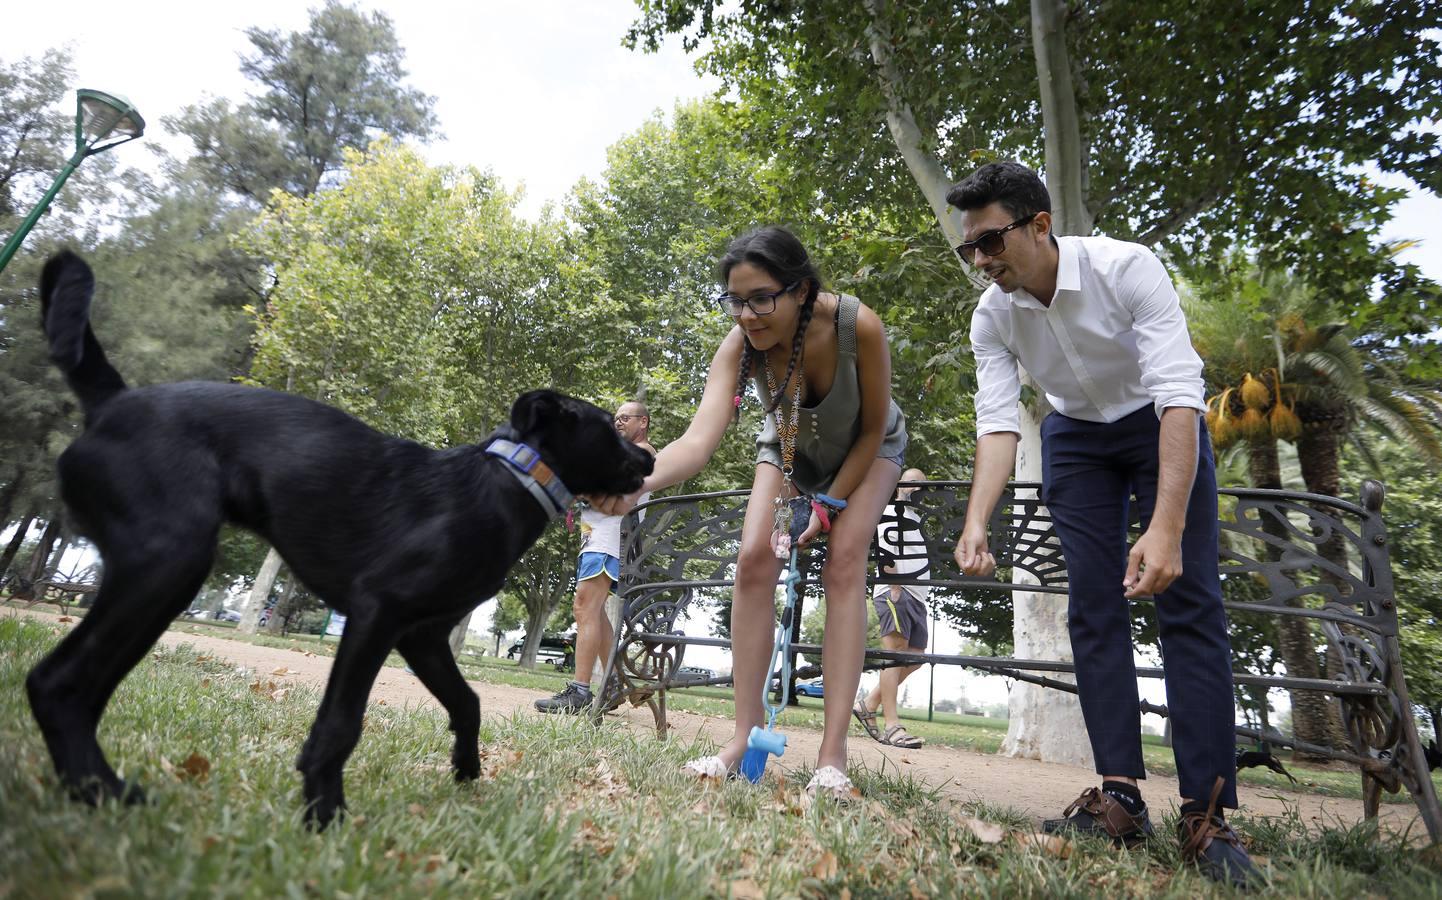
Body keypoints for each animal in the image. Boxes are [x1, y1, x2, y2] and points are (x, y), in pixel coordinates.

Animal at [25, 249, 654, 825]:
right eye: (611, 429)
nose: (650, 458)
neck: (511, 477)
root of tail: (112, 401)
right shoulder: (378, 611)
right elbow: (342, 722)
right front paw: (324, 811)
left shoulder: (423, 635)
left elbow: (468, 701)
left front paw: (466, 772)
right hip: (167, 562)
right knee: (58, 682)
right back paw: (104, 791)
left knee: (73, 686)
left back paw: (92, 788)